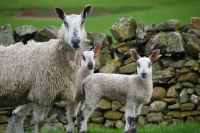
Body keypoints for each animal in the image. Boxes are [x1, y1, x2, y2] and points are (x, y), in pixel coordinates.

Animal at [3, 4, 93, 133]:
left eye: (82, 21)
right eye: (65, 22)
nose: (75, 41)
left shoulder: (49, 96)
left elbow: (71, 117)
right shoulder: (41, 95)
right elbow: (38, 122)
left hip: (26, 96)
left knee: (17, 114)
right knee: (18, 114)